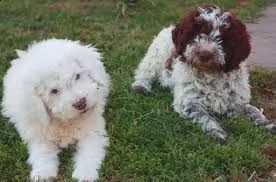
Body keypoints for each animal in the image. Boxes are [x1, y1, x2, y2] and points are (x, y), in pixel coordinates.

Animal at [1, 38, 111, 181]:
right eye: (54, 91)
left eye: (77, 76)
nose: (80, 103)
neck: (65, 121)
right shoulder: (40, 135)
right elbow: (42, 154)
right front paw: (42, 174)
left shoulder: (93, 131)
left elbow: (89, 152)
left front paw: (85, 174)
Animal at [132, 4, 276, 144]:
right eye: (197, 34)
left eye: (222, 38)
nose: (205, 54)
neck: (211, 74)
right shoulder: (189, 103)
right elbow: (205, 117)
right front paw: (216, 132)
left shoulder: (237, 102)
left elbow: (253, 111)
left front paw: (267, 124)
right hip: (155, 55)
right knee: (145, 71)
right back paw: (140, 86)